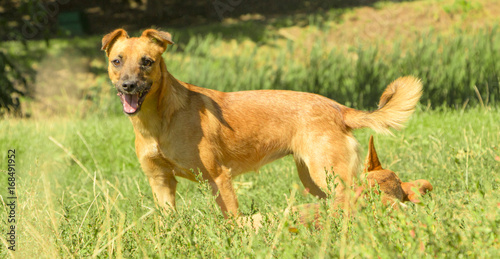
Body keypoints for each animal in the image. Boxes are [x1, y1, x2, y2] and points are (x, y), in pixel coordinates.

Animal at [100, 28, 422, 218]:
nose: (128, 85)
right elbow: (169, 223)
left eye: (147, 61)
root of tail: (338, 108)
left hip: (330, 175)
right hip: (314, 180)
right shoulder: (161, 181)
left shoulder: (218, 178)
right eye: (117, 61)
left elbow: (233, 220)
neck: (159, 122)